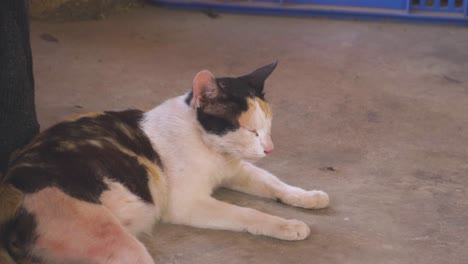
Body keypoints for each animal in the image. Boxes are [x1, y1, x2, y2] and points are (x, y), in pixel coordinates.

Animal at [0, 62, 330, 264]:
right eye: (251, 131)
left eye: (269, 126)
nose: (270, 149)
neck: (211, 149)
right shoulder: (187, 204)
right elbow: (247, 213)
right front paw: (286, 225)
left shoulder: (236, 169)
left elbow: (274, 183)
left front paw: (309, 197)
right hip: (120, 246)